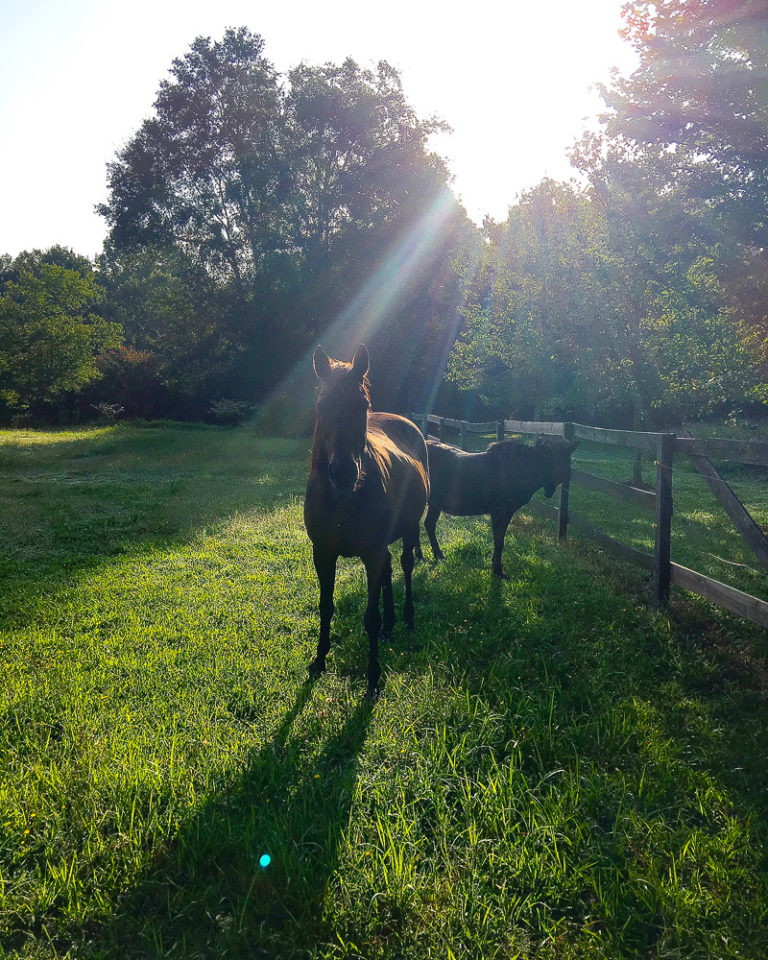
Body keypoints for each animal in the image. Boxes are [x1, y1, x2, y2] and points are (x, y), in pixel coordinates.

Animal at [304, 344, 428, 696]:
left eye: (364, 406)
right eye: (321, 406)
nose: (344, 473)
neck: (342, 500)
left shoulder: (370, 554)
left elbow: (368, 616)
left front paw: (373, 676)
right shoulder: (323, 553)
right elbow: (326, 606)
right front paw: (319, 660)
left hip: (410, 529)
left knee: (404, 566)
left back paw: (407, 618)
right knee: (388, 572)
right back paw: (390, 625)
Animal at [420, 436, 576, 576]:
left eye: (567, 458)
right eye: (549, 457)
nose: (563, 478)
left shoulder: (508, 512)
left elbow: (500, 541)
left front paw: (495, 566)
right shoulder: (498, 510)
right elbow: (499, 542)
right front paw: (498, 571)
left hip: (434, 503)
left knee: (428, 524)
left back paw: (436, 555)